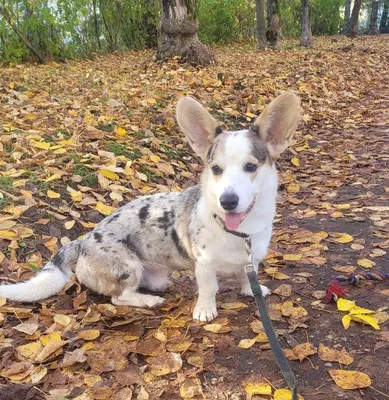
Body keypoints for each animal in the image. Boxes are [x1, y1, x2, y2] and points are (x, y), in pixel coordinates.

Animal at [0, 92, 300, 320]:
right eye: (216, 169)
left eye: (251, 167)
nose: (228, 201)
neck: (239, 231)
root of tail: (82, 241)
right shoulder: (204, 265)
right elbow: (209, 288)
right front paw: (205, 311)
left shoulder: (251, 259)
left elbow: (247, 276)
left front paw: (252, 290)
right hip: (128, 268)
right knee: (119, 298)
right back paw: (148, 301)